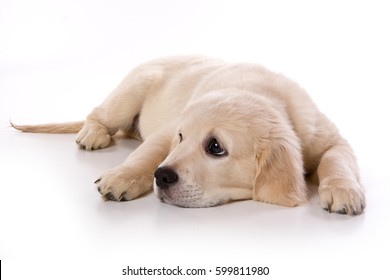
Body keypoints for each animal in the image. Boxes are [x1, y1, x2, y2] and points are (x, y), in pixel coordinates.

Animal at [12, 55, 366, 215]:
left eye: (215, 147)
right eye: (182, 137)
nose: (162, 177)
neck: (267, 95)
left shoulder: (330, 139)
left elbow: (338, 160)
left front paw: (344, 190)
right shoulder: (168, 131)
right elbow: (148, 153)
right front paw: (122, 177)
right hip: (128, 95)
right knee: (98, 114)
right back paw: (93, 134)